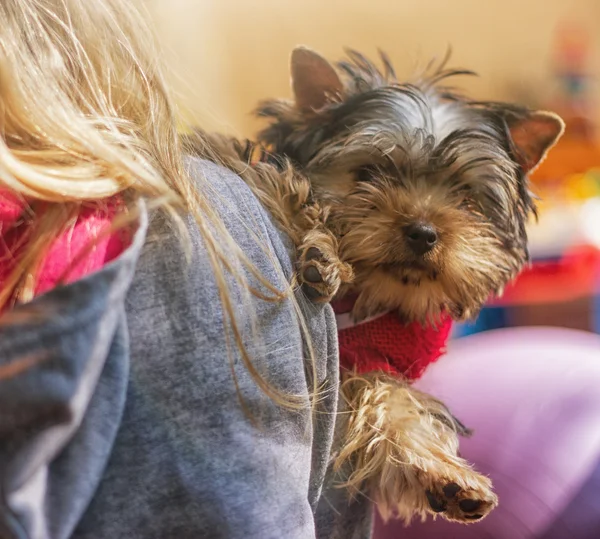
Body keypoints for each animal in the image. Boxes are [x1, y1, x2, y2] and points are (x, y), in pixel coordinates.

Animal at [186, 48, 564, 524]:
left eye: (465, 197)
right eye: (367, 173)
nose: (423, 232)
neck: (371, 297)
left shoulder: (378, 357)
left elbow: (387, 393)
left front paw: (436, 469)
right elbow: (271, 181)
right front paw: (320, 246)